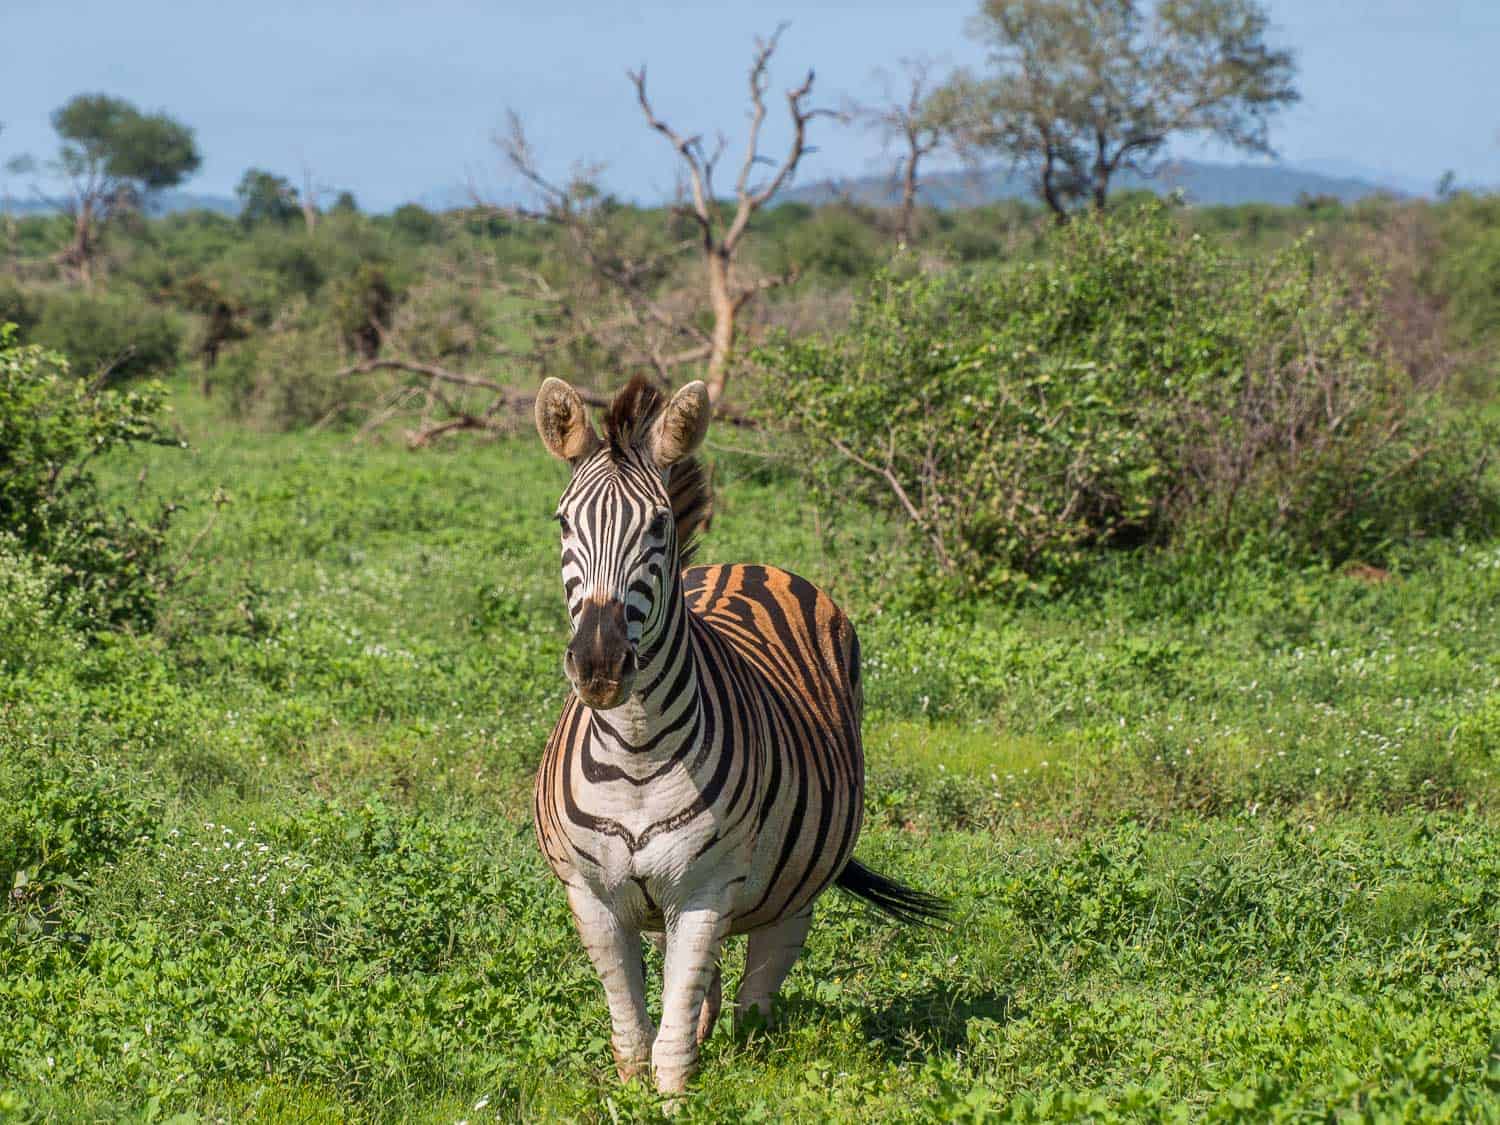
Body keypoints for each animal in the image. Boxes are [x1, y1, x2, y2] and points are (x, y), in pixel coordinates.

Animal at [534, 376, 942, 1092]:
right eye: (563, 521)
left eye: (659, 525)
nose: (600, 666)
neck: (635, 749)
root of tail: (749, 564)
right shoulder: (592, 896)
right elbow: (634, 1039)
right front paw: (633, 1098)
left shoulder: (705, 889)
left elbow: (670, 1049)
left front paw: (677, 1101)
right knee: (709, 988)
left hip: (797, 885)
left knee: (759, 992)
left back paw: (754, 1057)